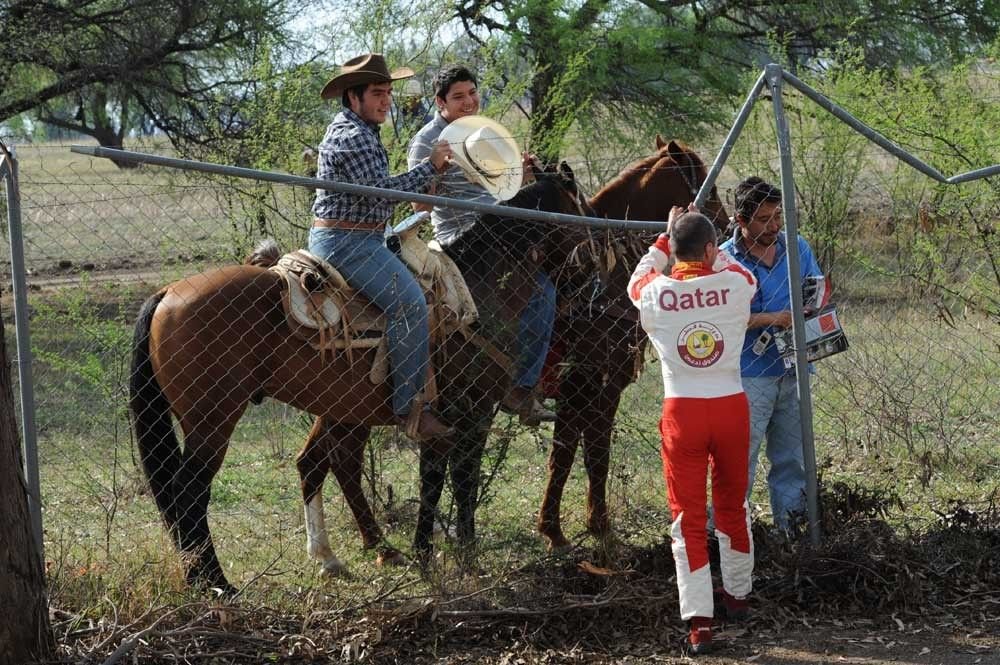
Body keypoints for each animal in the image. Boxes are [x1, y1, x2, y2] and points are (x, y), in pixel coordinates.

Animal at [129, 169, 588, 588]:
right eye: (583, 208)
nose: (591, 280)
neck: (477, 288)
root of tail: (167, 293)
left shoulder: (450, 415)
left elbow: (441, 478)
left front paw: (433, 551)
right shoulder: (470, 409)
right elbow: (456, 479)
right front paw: (458, 554)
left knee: (319, 463)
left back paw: (337, 556)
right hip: (214, 420)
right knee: (190, 493)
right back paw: (216, 581)